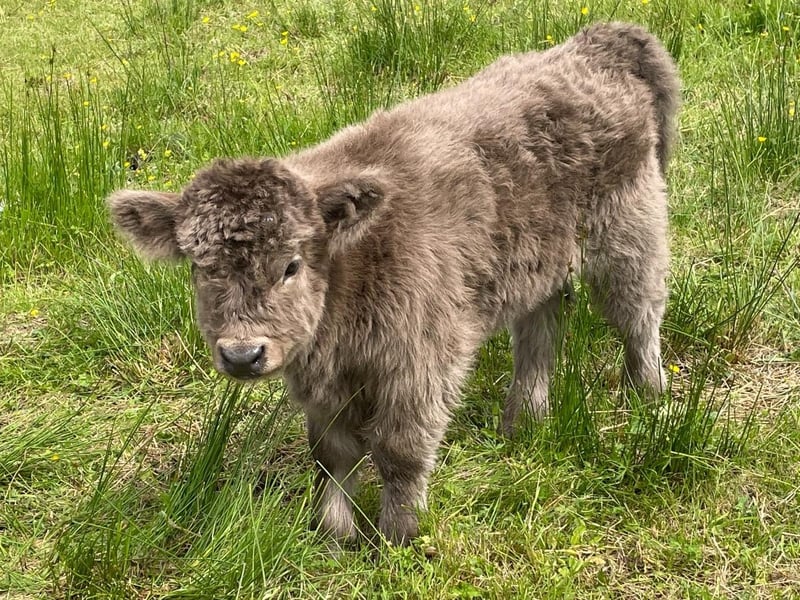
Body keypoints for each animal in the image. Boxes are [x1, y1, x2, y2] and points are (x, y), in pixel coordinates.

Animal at [107, 22, 680, 547]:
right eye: (201, 267)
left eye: (292, 265)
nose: (243, 354)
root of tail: (597, 42)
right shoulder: (326, 388)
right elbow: (330, 454)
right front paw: (333, 535)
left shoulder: (419, 364)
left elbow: (400, 452)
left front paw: (398, 536)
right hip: (538, 264)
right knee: (540, 332)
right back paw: (524, 421)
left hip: (630, 232)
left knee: (639, 315)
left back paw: (649, 396)